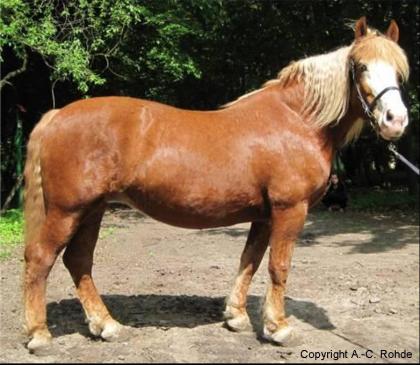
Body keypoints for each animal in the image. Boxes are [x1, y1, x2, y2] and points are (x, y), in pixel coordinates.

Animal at [22, 17, 406, 352]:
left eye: (399, 72)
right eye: (360, 66)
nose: (396, 120)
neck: (297, 121)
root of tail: (57, 115)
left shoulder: (264, 215)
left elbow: (250, 260)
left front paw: (236, 317)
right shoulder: (289, 210)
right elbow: (278, 266)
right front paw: (278, 328)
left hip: (93, 210)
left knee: (78, 261)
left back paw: (107, 326)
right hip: (67, 210)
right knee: (41, 259)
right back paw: (39, 335)